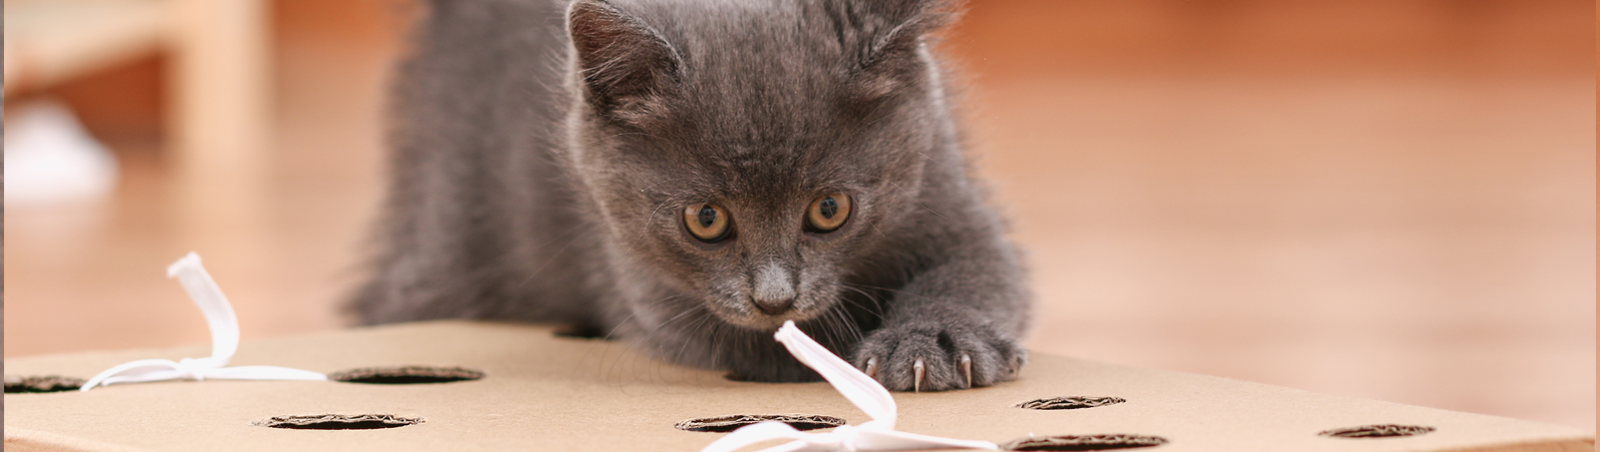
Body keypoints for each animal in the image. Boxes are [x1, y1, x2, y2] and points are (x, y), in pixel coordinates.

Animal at [352, 0, 1030, 389]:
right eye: (706, 219)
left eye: (830, 210)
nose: (774, 298)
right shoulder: (640, 281)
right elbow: (756, 343)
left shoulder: (946, 190)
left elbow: (980, 273)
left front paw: (931, 345)